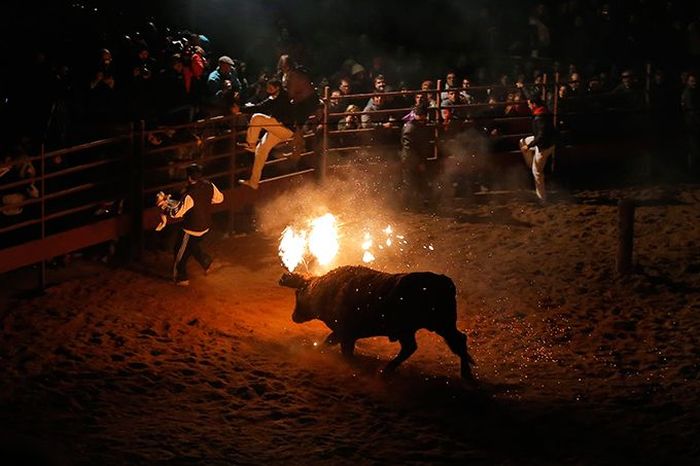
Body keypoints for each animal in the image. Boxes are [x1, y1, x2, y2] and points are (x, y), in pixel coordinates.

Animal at [278, 264, 476, 380]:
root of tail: (443, 281)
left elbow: (336, 345)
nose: (294, 316)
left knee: (454, 342)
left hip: (439, 325)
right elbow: (333, 343)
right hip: (424, 329)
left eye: (298, 294)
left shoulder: (345, 333)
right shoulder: (346, 335)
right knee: (422, 346)